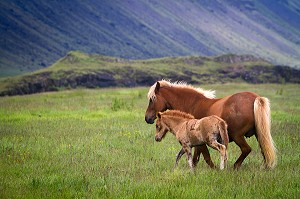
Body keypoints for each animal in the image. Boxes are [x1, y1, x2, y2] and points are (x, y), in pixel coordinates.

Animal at [145, 79, 276, 169]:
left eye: (152, 99)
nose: (147, 118)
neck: (192, 104)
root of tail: (256, 98)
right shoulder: (196, 142)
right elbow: (196, 158)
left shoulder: (200, 142)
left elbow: (205, 157)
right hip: (259, 135)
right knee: (264, 151)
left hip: (237, 136)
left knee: (246, 149)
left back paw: (234, 166)